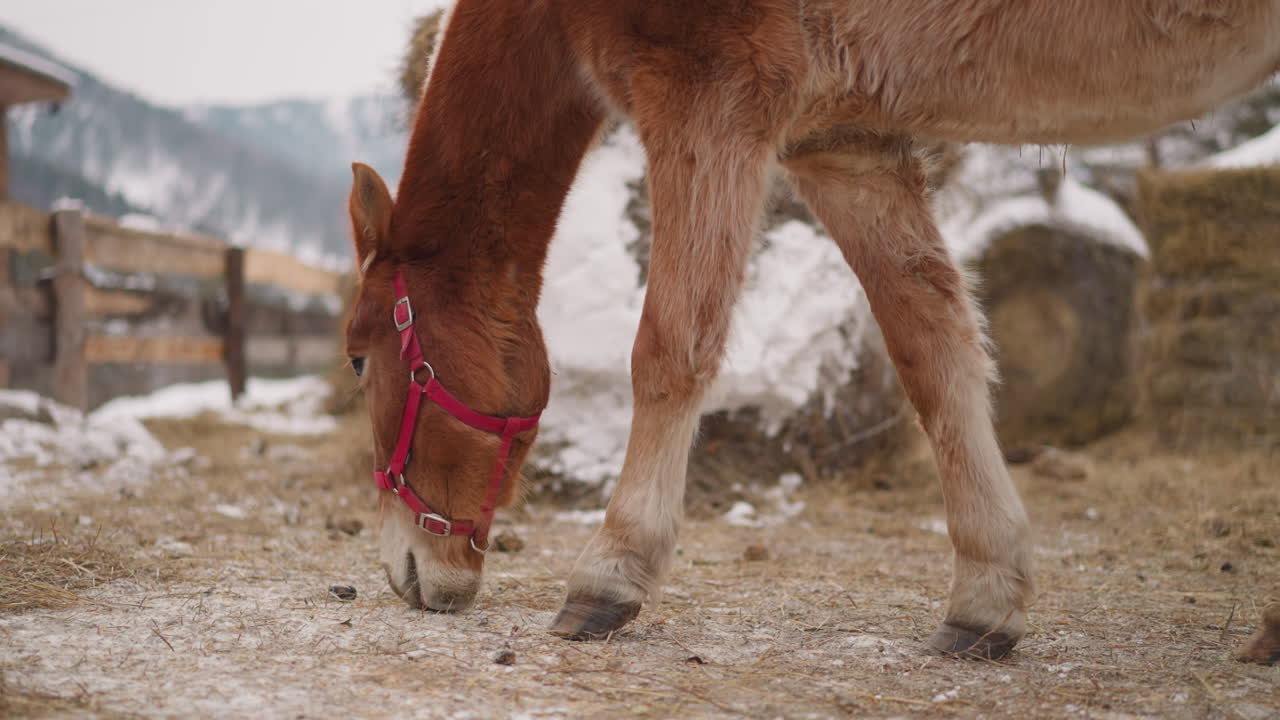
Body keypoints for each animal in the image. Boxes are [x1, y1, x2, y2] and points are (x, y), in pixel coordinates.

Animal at [343, 0, 1280, 660]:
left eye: (357, 359)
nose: (407, 572)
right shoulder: (846, 144)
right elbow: (933, 349)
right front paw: (987, 595)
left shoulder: (708, 98)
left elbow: (671, 346)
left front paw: (609, 576)